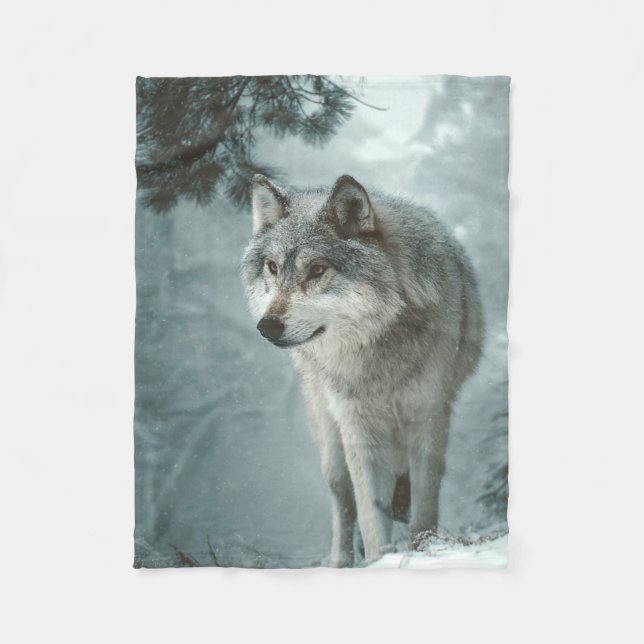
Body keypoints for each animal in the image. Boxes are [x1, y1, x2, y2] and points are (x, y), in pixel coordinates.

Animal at [241, 174, 483, 566]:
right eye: (273, 268)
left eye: (317, 270)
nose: (267, 327)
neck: (378, 347)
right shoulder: (357, 427)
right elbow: (369, 512)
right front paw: (378, 560)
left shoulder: (429, 417)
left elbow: (425, 505)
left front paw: (423, 549)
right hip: (329, 438)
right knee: (343, 501)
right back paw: (339, 562)